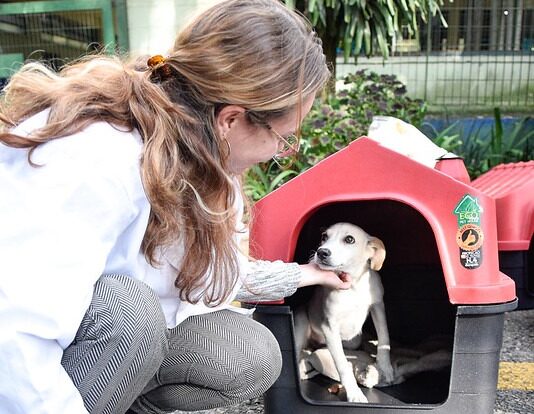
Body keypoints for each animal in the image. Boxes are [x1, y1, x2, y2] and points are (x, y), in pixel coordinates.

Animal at [298, 222, 398, 402]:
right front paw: (354, 393)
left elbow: (384, 340)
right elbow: (343, 365)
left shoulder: (378, 307)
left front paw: (385, 368)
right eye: (324, 236)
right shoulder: (330, 328)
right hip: (301, 320)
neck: (354, 287)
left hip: (353, 340)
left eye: (349, 239)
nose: (321, 252)